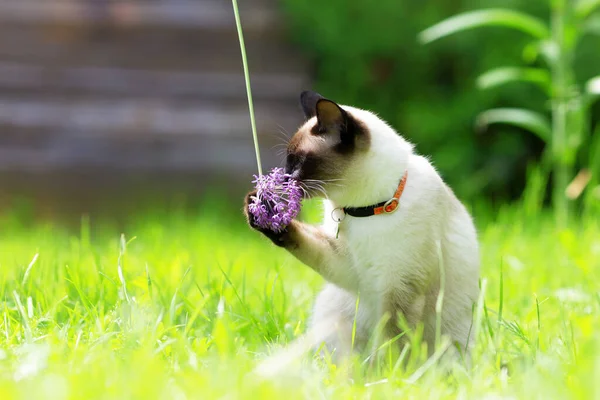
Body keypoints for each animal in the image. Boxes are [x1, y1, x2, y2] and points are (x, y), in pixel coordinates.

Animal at [241, 91, 480, 366]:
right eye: (288, 163)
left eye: (298, 162)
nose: (283, 179)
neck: (362, 211)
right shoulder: (350, 267)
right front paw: (265, 210)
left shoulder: (398, 288)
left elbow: (391, 343)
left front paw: (387, 373)